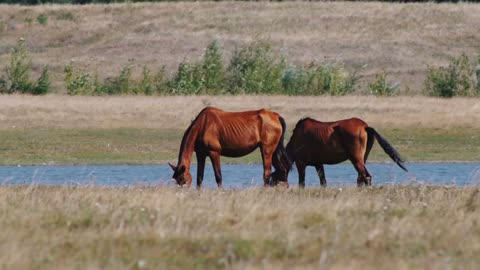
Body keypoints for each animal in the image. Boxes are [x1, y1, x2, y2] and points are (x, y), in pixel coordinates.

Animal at [272, 117, 406, 187]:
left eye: (273, 177)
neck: (297, 138)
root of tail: (365, 126)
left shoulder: (301, 163)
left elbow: (302, 183)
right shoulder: (318, 164)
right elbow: (323, 182)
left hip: (356, 159)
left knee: (366, 177)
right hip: (363, 158)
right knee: (361, 177)